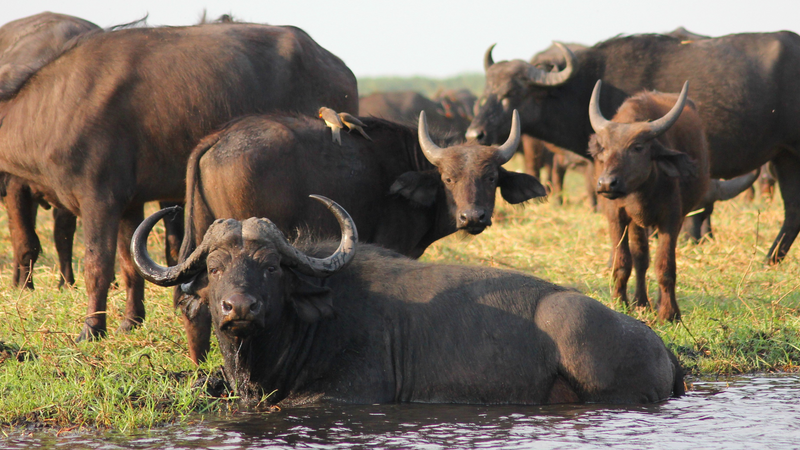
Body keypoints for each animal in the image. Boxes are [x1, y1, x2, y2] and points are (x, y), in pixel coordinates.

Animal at [0, 20, 358, 342]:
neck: (54, 107)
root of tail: (337, 65)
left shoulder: (99, 200)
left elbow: (97, 265)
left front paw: (91, 330)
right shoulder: (130, 204)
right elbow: (131, 265)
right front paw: (130, 321)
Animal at [468, 32, 800, 264]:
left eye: (511, 92)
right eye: (486, 91)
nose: (475, 134)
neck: (589, 87)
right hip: (784, 156)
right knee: (793, 212)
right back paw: (770, 260)